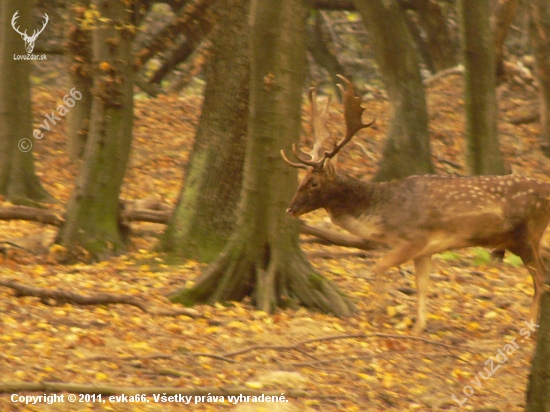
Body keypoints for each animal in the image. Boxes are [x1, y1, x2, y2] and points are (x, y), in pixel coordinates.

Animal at [282, 75, 550, 334]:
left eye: (314, 183)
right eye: (302, 178)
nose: (290, 209)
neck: (382, 214)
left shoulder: (413, 238)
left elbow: (378, 267)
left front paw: (377, 312)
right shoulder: (425, 249)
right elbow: (421, 285)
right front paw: (418, 327)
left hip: (526, 235)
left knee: (541, 279)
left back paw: (527, 329)